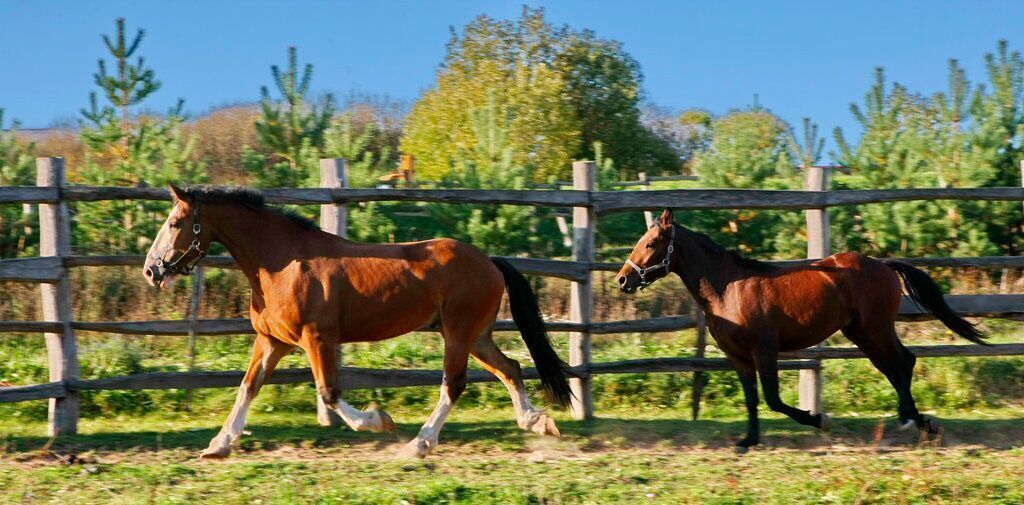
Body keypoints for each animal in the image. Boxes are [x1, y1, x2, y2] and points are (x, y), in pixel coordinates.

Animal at [143, 185, 573, 456]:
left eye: (176, 222)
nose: (152, 270)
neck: (281, 263)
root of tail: (490, 263)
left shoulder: (317, 338)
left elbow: (329, 393)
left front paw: (379, 421)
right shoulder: (271, 341)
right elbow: (247, 387)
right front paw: (218, 445)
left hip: (458, 334)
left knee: (454, 384)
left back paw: (419, 444)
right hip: (477, 336)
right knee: (510, 368)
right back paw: (537, 422)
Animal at [614, 206, 983, 450]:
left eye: (650, 243)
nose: (623, 279)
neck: (728, 289)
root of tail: (883, 265)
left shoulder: (764, 351)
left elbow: (773, 399)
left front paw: (819, 419)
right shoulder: (738, 358)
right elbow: (752, 399)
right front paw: (748, 440)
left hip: (876, 327)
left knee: (904, 362)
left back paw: (914, 421)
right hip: (860, 333)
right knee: (894, 367)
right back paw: (913, 420)